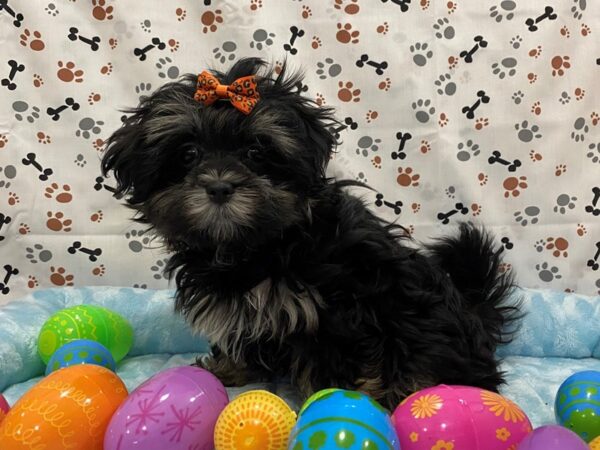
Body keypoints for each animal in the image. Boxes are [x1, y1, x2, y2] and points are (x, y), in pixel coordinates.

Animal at [101, 58, 516, 410]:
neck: (253, 247)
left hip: (422, 322)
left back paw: (400, 389)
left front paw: (325, 400)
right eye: (187, 154)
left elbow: (325, 364)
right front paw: (228, 370)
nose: (219, 187)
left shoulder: (334, 313)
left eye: (256, 153)